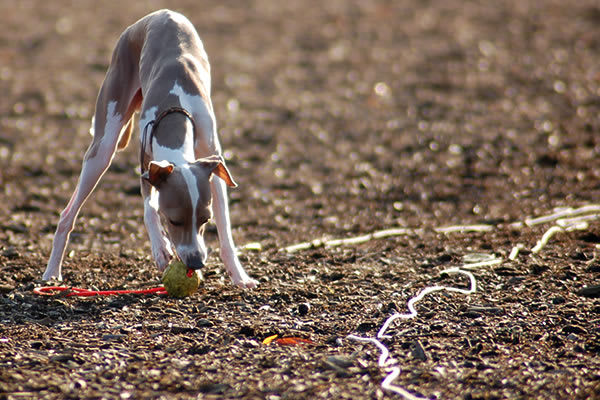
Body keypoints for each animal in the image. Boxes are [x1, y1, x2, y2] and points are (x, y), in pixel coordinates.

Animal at [42, 9, 258, 290]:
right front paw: (160, 248)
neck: (178, 108)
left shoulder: (212, 167)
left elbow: (226, 229)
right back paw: (51, 273)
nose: (196, 262)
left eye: (204, 220)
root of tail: (160, 13)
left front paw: (240, 276)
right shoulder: (148, 162)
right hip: (102, 146)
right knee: (68, 213)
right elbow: (149, 208)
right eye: (174, 220)